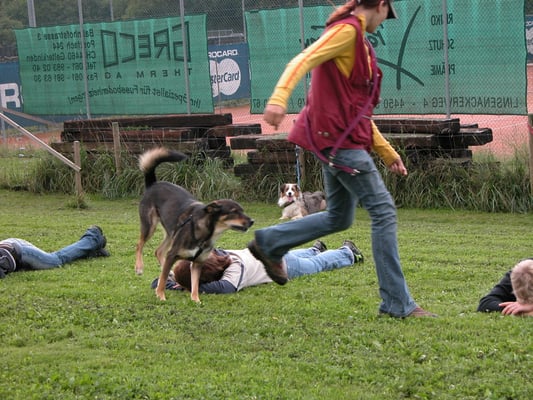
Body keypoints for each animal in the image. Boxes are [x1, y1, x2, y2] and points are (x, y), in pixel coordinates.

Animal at [134, 147, 254, 302]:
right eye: (234, 212)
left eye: (242, 210)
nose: (252, 221)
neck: (207, 232)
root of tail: (153, 184)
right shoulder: (172, 255)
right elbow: (163, 280)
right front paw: (160, 295)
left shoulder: (198, 263)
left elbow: (195, 284)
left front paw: (196, 299)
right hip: (150, 225)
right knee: (139, 245)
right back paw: (139, 267)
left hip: (171, 232)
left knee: (159, 251)